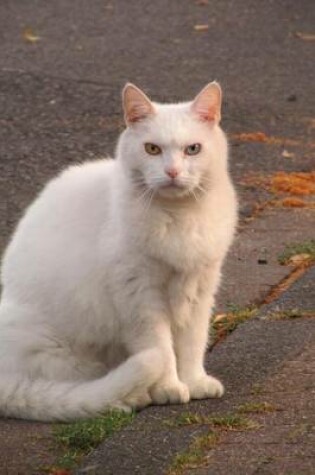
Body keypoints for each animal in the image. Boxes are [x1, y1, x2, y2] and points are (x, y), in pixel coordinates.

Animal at [0, 82, 237, 420]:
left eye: (193, 149)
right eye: (152, 149)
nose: (172, 172)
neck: (179, 216)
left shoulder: (200, 288)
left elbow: (193, 342)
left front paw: (194, 382)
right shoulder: (140, 295)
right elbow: (161, 346)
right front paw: (169, 387)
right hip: (62, 350)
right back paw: (136, 395)